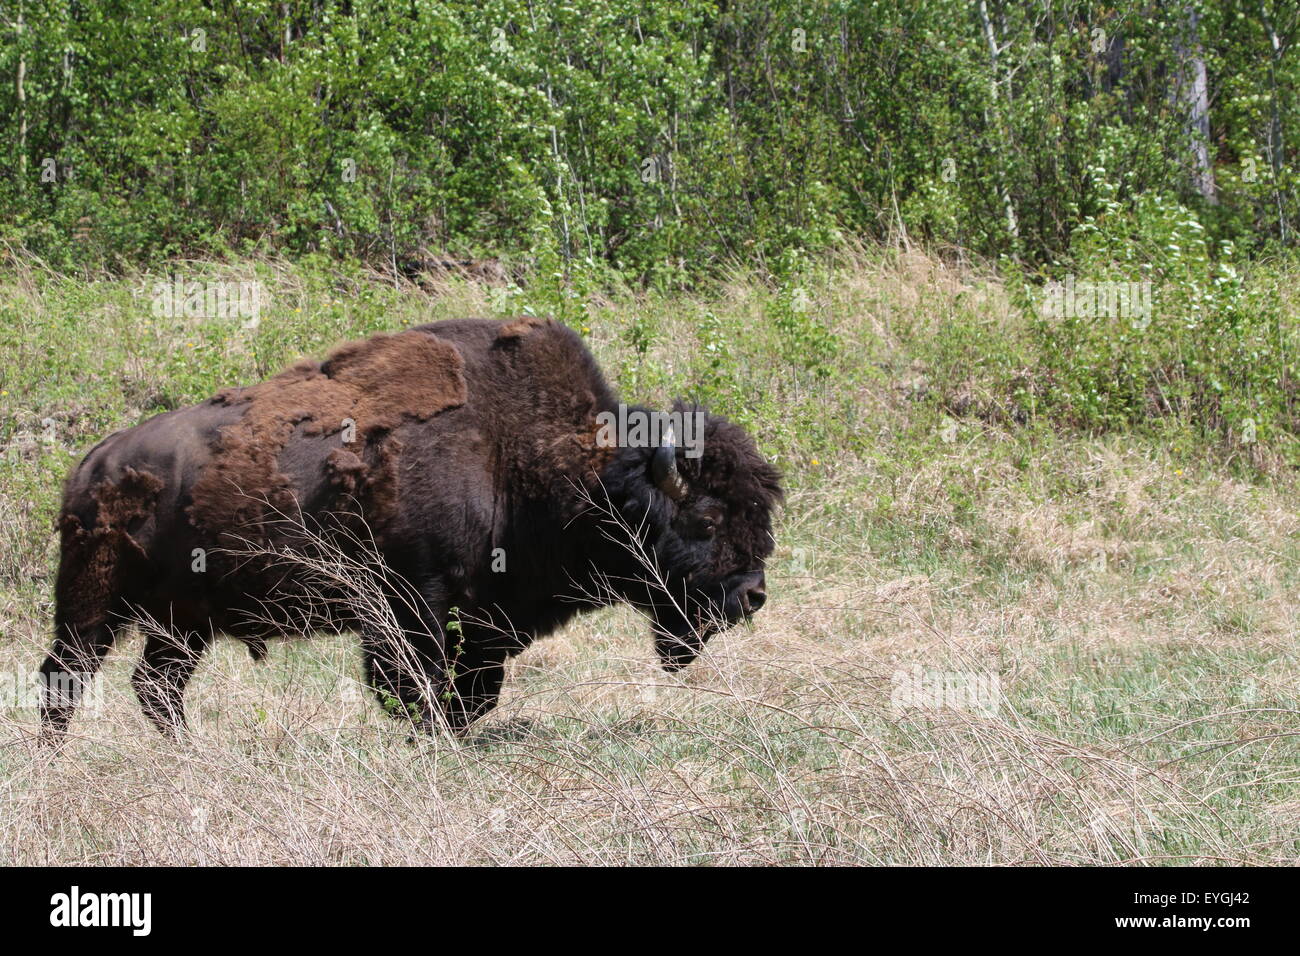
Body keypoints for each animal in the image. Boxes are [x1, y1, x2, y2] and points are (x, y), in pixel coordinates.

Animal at [40, 317, 780, 738]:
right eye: (706, 518)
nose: (752, 595)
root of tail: (94, 463)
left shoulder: (484, 622)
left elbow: (475, 692)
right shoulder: (413, 604)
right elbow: (415, 684)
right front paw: (426, 739)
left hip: (183, 623)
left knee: (154, 689)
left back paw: (187, 755)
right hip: (92, 603)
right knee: (63, 681)